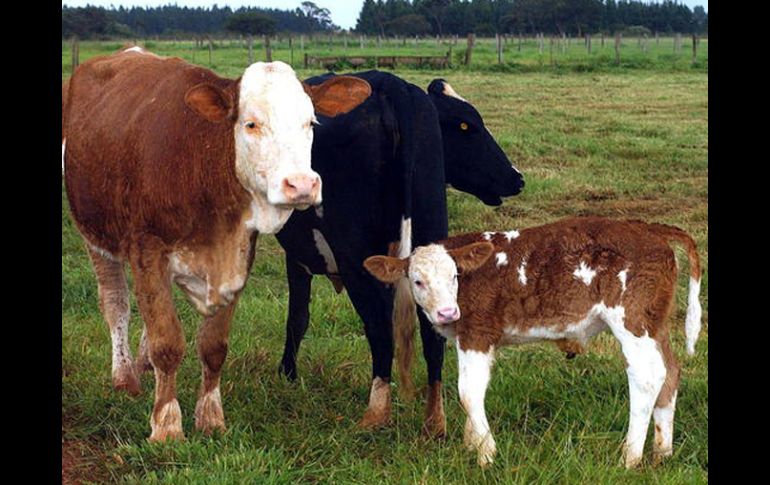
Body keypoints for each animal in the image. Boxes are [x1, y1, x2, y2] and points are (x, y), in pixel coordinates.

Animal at [63, 48, 368, 442]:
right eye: (251, 124)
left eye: (311, 123)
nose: (301, 185)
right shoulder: (147, 250)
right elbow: (167, 342)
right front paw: (167, 425)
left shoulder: (237, 256)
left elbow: (212, 346)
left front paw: (210, 418)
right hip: (95, 236)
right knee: (116, 303)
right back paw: (125, 376)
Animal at [272, 69, 520, 434]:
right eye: (465, 125)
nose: (517, 178)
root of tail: (392, 85)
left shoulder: (302, 256)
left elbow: (297, 318)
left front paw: (287, 375)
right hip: (430, 230)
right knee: (433, 333)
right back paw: (434, 420)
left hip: (357, 259)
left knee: (380, 330)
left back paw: (376, 414)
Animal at [366, 216, 704, 466]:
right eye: (418, 281)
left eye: (454, 276)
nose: (447, 312)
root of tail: (648, 227)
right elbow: (472, 390)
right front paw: (471, 445)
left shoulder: (477, 332)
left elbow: (468, 392)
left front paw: (487, 454)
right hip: (655, 323)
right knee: (671, 373)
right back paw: (662, 453)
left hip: (631, 320)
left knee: (648, 376)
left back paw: (629, 457)